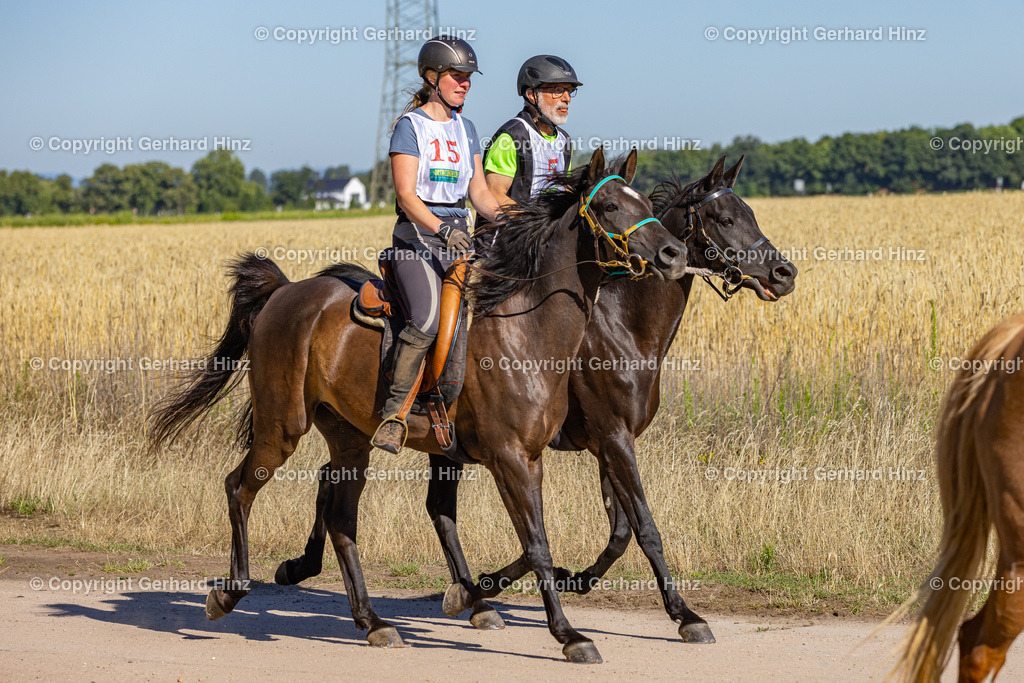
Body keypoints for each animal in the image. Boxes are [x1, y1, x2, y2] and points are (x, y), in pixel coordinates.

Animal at [149, 148, 696, 663]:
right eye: (608, 207)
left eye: (647, 205)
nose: (673, 253)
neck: (527, 328)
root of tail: (286, 292)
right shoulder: (517, 458)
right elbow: (541, 546)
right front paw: (569, 635)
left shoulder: (543, 455)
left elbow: (567, 537)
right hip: (281, 426)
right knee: (239, 487)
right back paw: (229, 594)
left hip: (350, 440)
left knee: (342, 520)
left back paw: (373, 622)